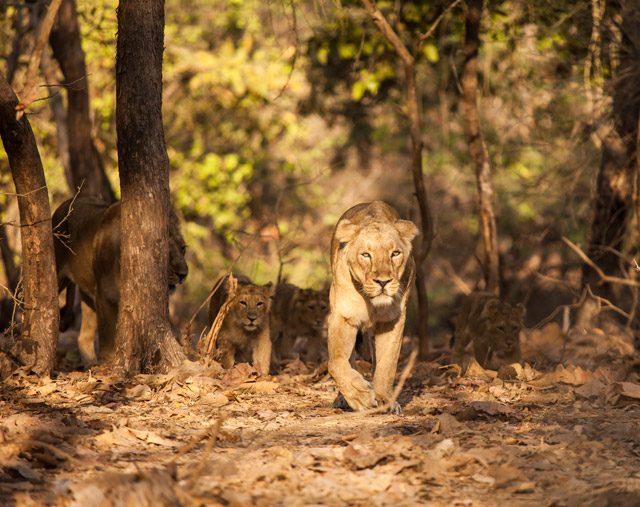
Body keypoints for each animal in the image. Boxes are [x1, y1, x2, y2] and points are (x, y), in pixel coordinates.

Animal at [53, 196, 188, 365]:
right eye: (165, 252)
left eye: (183, 248)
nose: (184, 274)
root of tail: (67, 202)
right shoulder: (104, 295)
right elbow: (108, 337)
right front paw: (108, 365)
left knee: (84, 337)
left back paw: (90, 363)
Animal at [327, 201, 418, 414]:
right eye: (366, 255)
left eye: (395, 253)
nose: (383, 282)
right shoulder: (343, 316)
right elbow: (336, 361)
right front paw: (360, 397)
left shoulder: (392, 320)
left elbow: (387, 364)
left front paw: (384, 400)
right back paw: (342, 398)